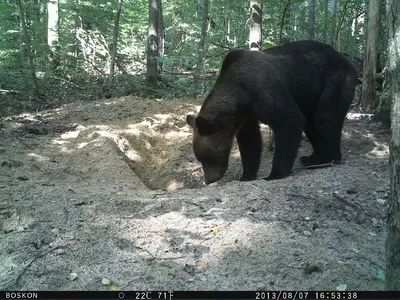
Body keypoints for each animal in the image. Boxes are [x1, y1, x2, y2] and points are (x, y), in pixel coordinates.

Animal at [186, 40, 358, 183]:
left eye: (205, 157)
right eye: (200, 158)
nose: (209, 179)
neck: (239, 96)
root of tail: (347, 60)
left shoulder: (264, 91)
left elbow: (289, 120)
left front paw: (274, 174)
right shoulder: (246, 113)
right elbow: (250, 141)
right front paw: (246, 176)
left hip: (335, 80)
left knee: (325, 119)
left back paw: (328, 159)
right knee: (311, 124)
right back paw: (312, 158)